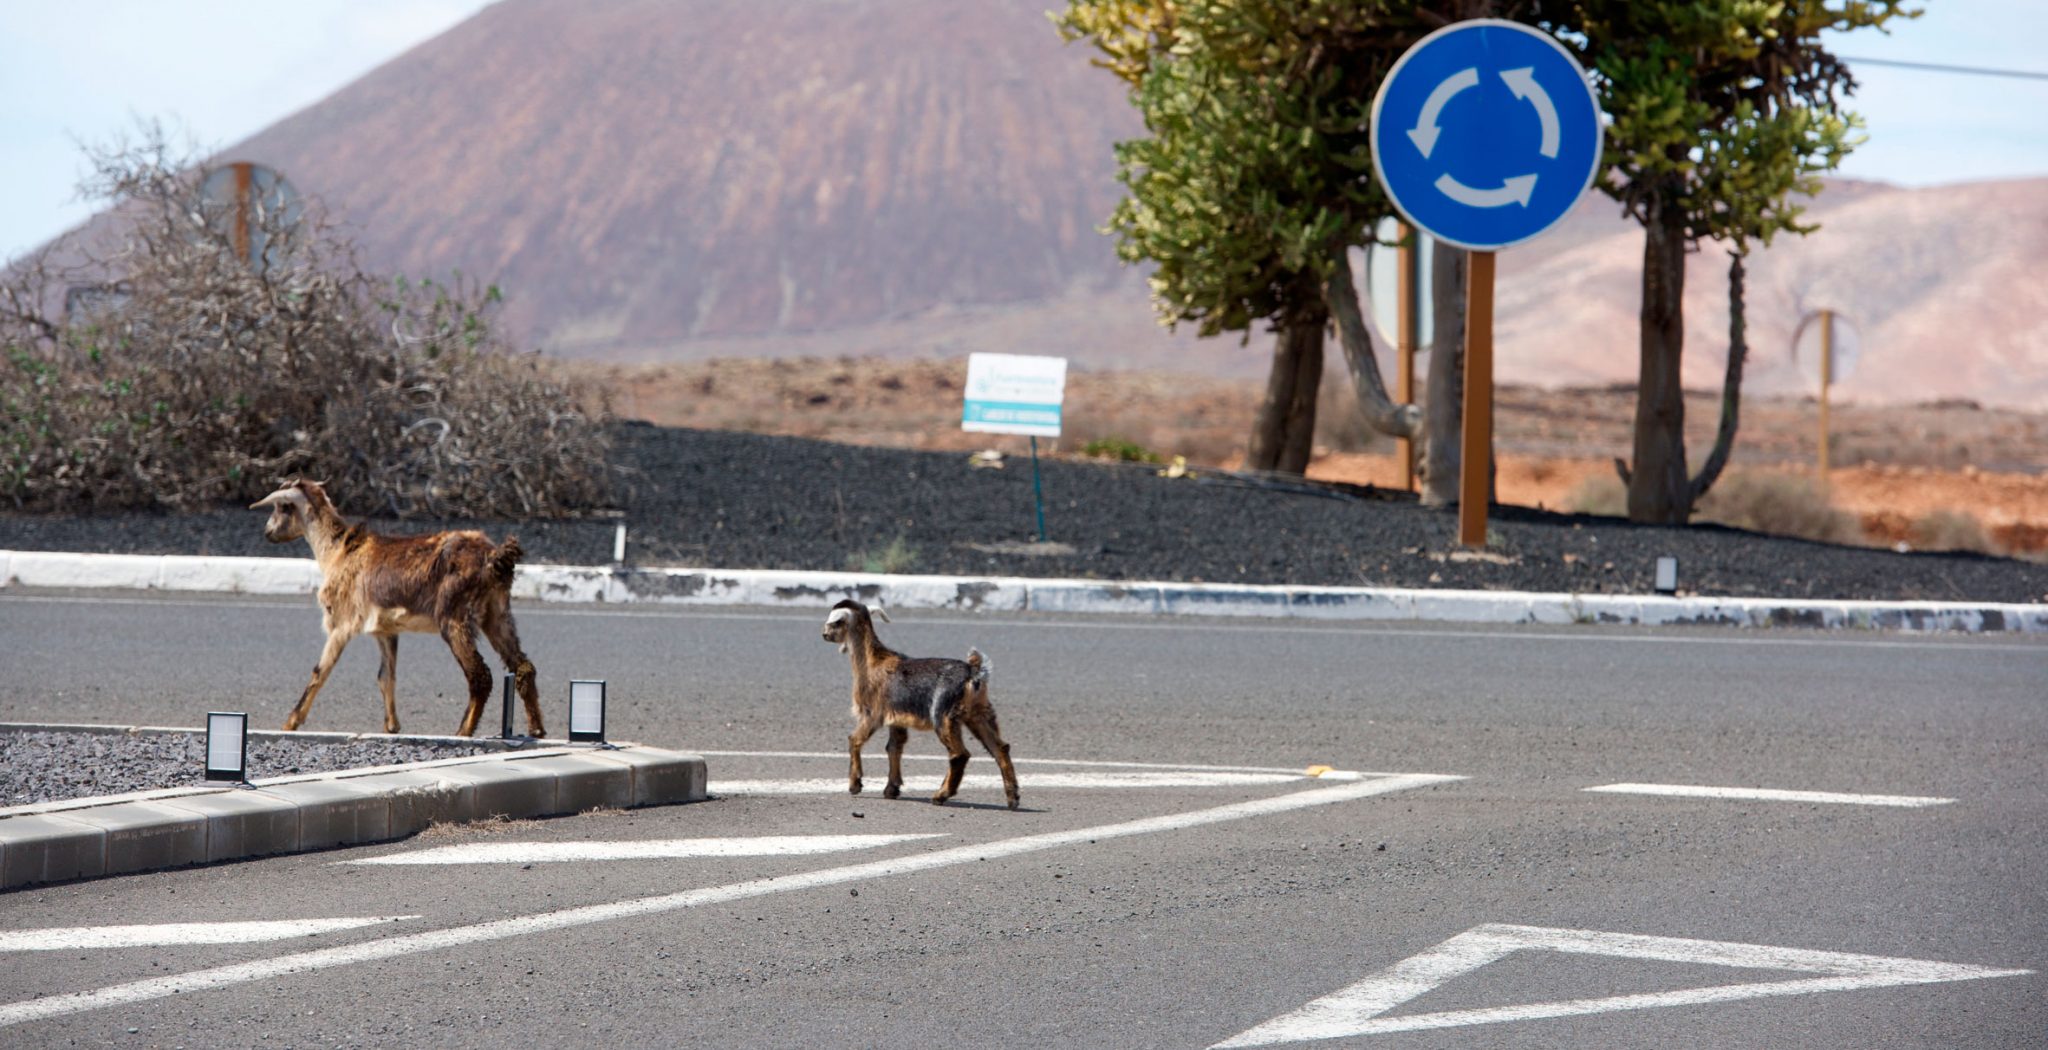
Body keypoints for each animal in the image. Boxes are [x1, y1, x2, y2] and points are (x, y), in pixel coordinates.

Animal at [250, 479, 546, 737]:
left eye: (282, 507)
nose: (267, 532)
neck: (337, 551)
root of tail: (494, 557)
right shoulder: (385, 629)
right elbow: (386, 676)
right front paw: (391, 727)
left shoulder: (342, 623)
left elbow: (320, 672)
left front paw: (290, 723)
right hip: (497, 612)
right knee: (523, 666)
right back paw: (537, 729)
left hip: (454, 615)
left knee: (480, 675)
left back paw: (463, 731)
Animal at [820, 599, 1019, 809]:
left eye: (836, 622)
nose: (824, 635)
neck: (872, 662)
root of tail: (974, 672)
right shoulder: (896, 719)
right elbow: (894, 747)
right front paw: (891, 789)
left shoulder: (872, 713)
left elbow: (854, 739)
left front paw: (855, 785)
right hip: (979, 713)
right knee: (1000, 748)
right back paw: (1012, 798)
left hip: (943, 714)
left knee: (959, 754)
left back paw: (941, 795)